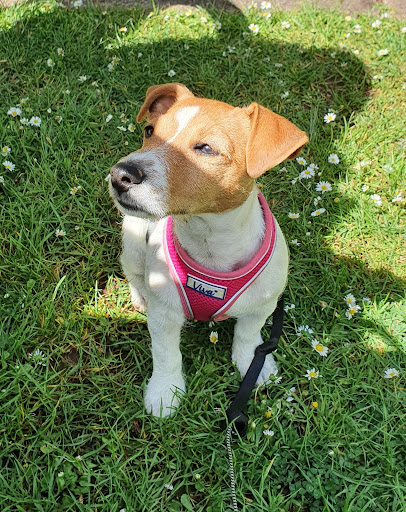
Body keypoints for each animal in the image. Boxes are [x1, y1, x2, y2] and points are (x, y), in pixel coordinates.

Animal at [108, 83, 308, 417]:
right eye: (149, 131)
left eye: (205, 148)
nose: (120, 174)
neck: (207, 238)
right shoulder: (164, 316)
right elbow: (166, 354)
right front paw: (164, 392)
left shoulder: (263, 305)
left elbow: (248, 335)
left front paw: (253, 364)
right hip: (134, 244)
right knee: (133, 273)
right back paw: (140, 296)